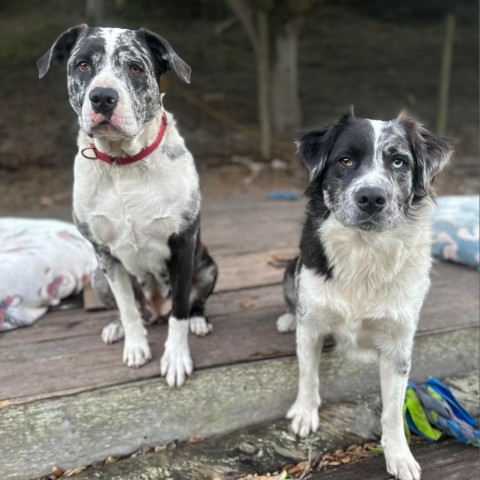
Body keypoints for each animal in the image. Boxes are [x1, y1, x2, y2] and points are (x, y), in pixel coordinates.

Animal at [37, 25, 218, 386]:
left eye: (135, 68)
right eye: (82, 64)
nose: (102, 97)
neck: (123, 164)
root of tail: (156, 309)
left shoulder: (182, 245)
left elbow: (179, 312)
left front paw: (176, 358)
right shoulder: (105, 254)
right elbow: (127, 307)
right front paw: (135, 345)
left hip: (207, 267)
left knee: (188, 306)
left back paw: (198, 320)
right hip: (97, 279)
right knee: (133, 310)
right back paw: (117, 328)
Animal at [276, 111, 452, 480]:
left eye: (399, 161)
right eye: (345, 160)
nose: (371, 198)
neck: (364, 250)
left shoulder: (399, 345)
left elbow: (393, 409)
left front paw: (399, 455)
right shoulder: (312, 323)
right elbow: (308, 374)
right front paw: (304, 413)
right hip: (291, 266)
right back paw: (286, 318)